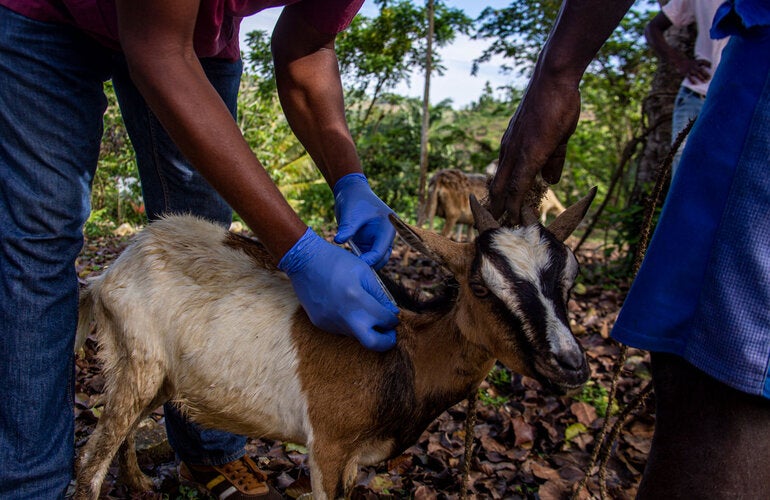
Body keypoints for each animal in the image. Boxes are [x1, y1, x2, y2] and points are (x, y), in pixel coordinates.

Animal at [73, 190, 596, 500]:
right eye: (482, 288)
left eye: (570, 279)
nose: (570, 363)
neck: (406, 353)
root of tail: (106, 275)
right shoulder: (327, 443)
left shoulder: (354, 460)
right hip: (138, 362)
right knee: (91, 458)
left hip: (159, 376)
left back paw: (140, 485)